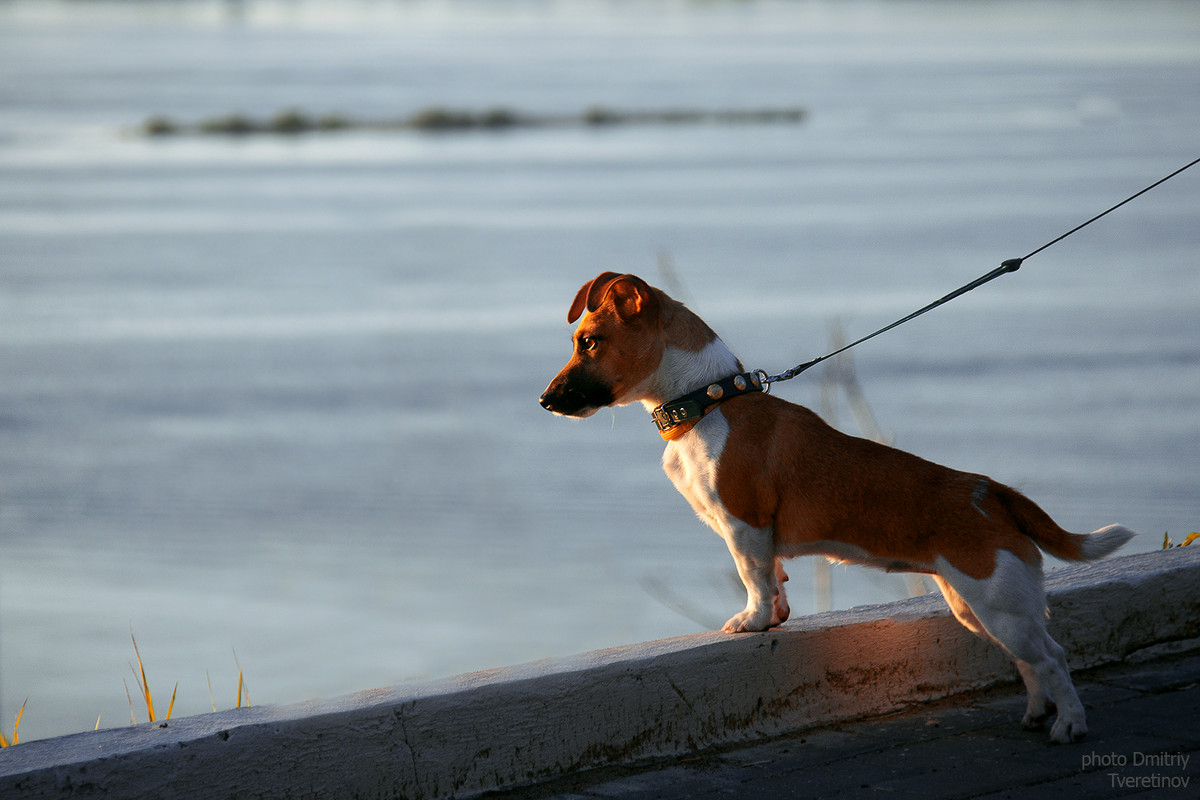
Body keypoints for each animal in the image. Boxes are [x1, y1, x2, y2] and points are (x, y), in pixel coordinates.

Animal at [540, 272, 1137, 743]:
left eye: (590, 342)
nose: (546, 401)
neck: (707, 403)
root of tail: (990, 492)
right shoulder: (758, 537)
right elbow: (775, 577)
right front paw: (775, 614)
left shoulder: (743, 525)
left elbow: (752, 577)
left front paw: (752, 622)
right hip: (979, 607)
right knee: (1031, 662)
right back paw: (1037, 715)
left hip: (999, 604)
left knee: (1053, 659)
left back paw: (1070, 725)